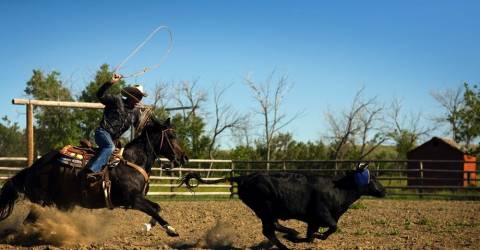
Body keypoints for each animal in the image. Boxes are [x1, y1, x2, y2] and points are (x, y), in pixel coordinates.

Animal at [0, 116, 188, 237]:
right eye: (172, 136)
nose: (184, 158)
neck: (132, 161)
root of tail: (33, 168)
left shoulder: (138, 199)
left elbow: (157, 207)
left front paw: (147, 227)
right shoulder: (133, 200)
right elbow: (155, 209)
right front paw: (171, 229)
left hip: (64, 204)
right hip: (43, 203)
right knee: (27, 222)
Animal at [180, 163, 386, 249]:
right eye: (373, 178)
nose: (384, 190)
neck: (338, 188)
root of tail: (244, 177)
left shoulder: (313, 221)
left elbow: (311, 236)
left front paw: (306, 239)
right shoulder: (322, 214)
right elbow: (332, 227)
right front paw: (303, 237)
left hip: (264, 210)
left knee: (269, 230)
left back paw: (287, 242)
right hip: (265, 208)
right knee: (271, 227)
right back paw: (291, 234)